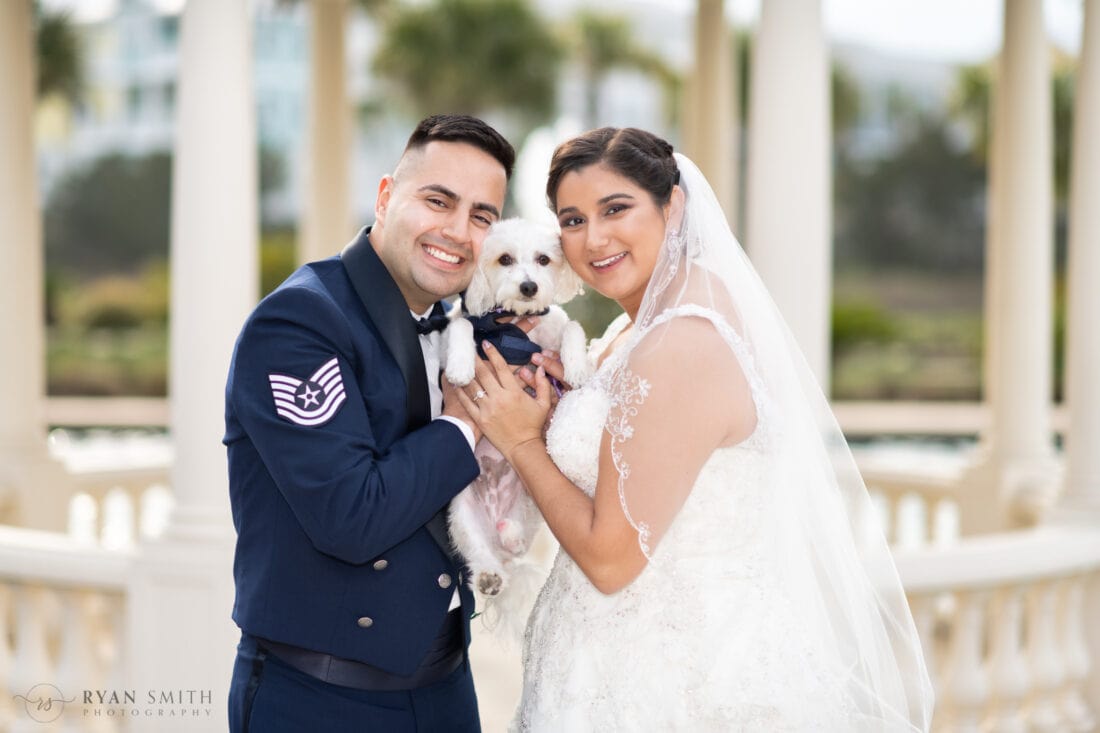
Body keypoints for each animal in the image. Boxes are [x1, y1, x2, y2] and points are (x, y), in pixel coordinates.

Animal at [442, 216, 589, 611]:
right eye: (504, 259)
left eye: (543, 259)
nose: (528, 286)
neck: (511, 326)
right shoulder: (459, 330)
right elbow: (461, 324)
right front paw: (461, 366)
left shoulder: (554, 334)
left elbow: (573, 326)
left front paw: (578, 366)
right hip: (461, 514)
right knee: (480, 553)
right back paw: (490, 574)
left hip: (531, 500)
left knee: (520, 543)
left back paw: (510, 536)